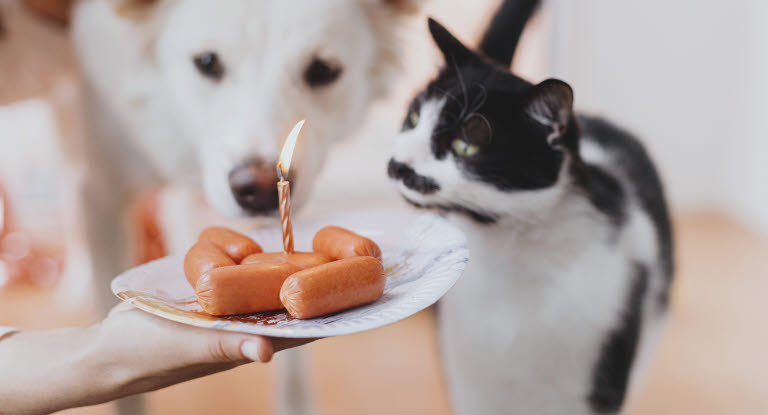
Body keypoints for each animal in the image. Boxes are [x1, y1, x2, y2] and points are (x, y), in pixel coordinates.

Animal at [390, 12, 672, 415]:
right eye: (413, 118)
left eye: (465, 145)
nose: (397, 164)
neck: (510, 256)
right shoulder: (469, 380)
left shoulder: (596, 380)